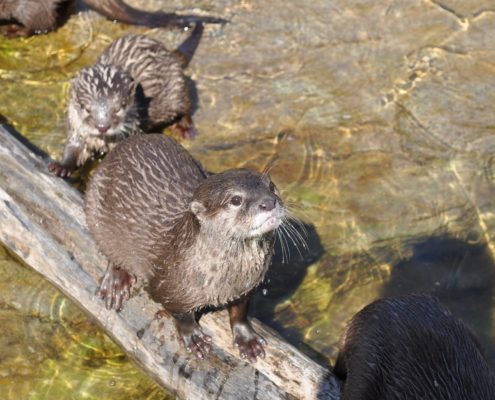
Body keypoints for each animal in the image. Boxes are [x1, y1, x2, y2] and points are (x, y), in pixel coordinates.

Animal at [47, 23, 202, 177]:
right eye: (86, 108)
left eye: (118, 108)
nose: (102, 126)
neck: (103, 141)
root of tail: (167, 52)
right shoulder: (77, 129)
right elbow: (74, 149)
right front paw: (61, 167)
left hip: (177, 87)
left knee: (186, 107)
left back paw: (184, 129)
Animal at [84, 134, 286, 362]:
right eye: (236, 199)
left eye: (271, 186)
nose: (268, 202)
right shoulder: (167, 289)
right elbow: (181, 315)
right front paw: (194, 338)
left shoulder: (246, 287)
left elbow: (240, 312)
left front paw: (247, 339)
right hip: (95, 207)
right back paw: (116, 282)